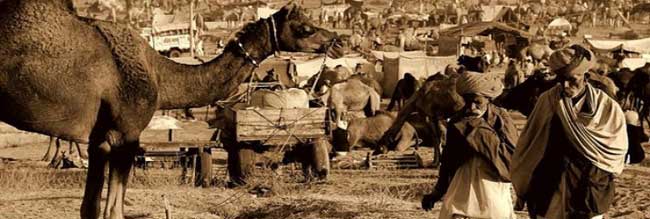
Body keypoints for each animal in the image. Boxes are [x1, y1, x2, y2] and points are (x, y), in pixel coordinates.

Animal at [0, 0, 342, 218]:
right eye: (305, 28)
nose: (337, 42)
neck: (160, 75)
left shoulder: (99, 140)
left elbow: (90, 209)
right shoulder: (125, 135)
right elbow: (114, 211)